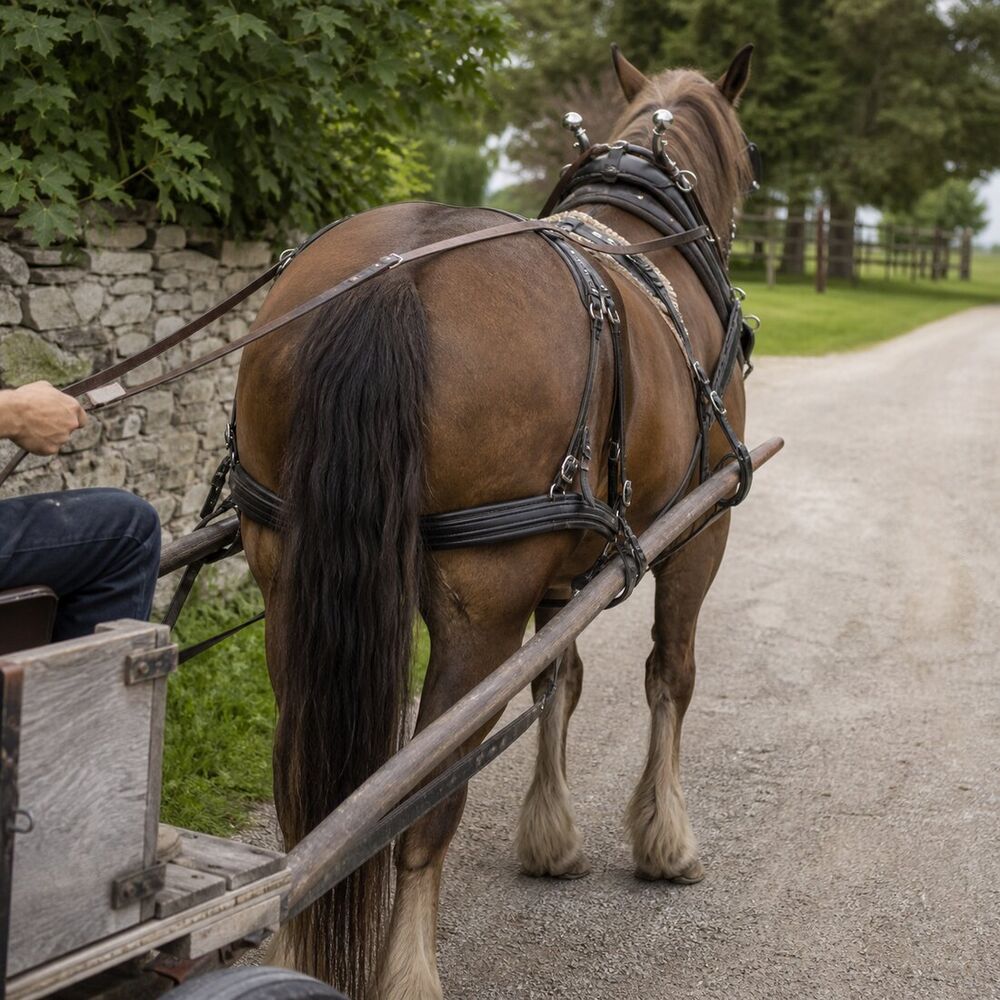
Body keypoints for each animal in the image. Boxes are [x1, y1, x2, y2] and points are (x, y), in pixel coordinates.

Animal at [233, 44, 756, 1000]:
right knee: (424, 802)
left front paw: (551, 837)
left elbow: (562, 680)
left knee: (308, 802)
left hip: (285, 566)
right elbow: (671, 675)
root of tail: (395, 275)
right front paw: (667, 842)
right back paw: (409, 970)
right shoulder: (702, 532)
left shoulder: (568, 562)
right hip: (482, 607)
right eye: (751, 155)